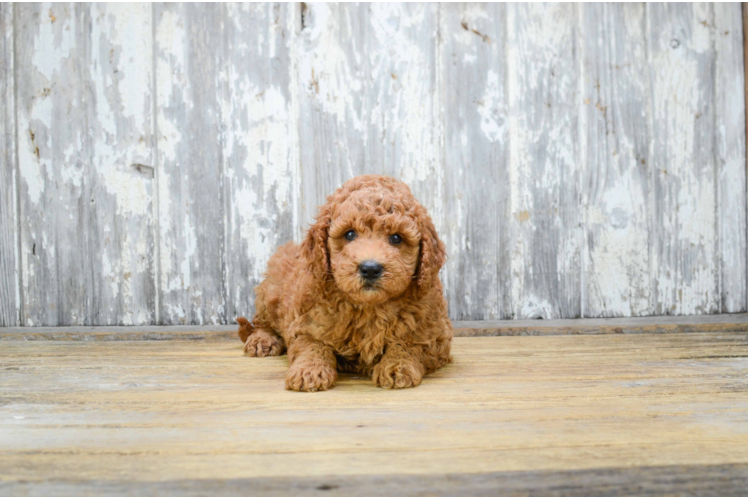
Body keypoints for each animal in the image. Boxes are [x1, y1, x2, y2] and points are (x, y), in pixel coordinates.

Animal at [237, 175, 452, 390]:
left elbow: (409, 344)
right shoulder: (305, 324)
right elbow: (313, 345)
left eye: (396, 238)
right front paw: (309, 370)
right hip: (271, 291)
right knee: (262, 321)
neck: (369, 307)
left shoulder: (436, 333)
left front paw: (397, 366)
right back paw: (261, 339)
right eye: (349, 234)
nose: (370, 269)